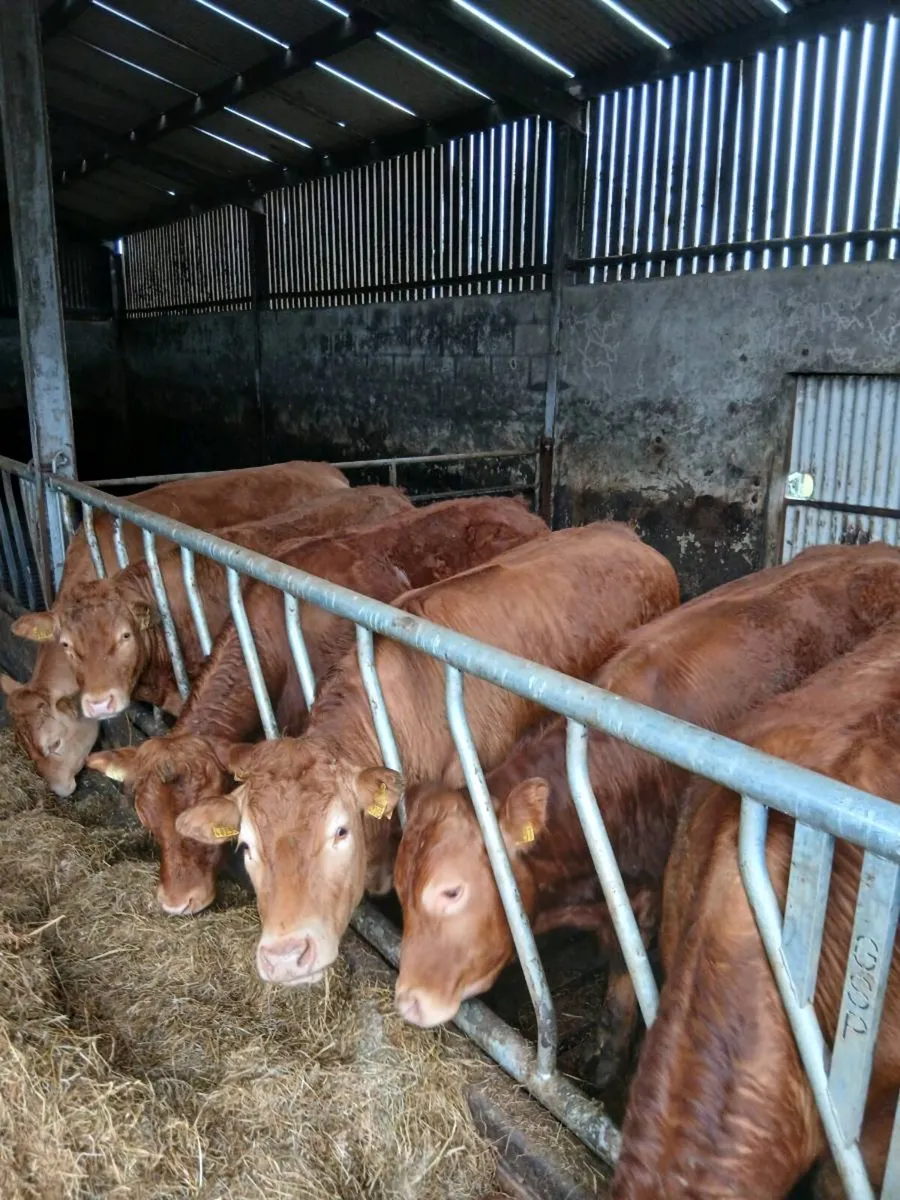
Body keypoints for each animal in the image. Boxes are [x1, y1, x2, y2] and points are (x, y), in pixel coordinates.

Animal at [388, 542, 900, 1093]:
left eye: (451, 891)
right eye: (398, 888)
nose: (408, 1000)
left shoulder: (644, 897)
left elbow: (624, 980)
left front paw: (608, 1064)